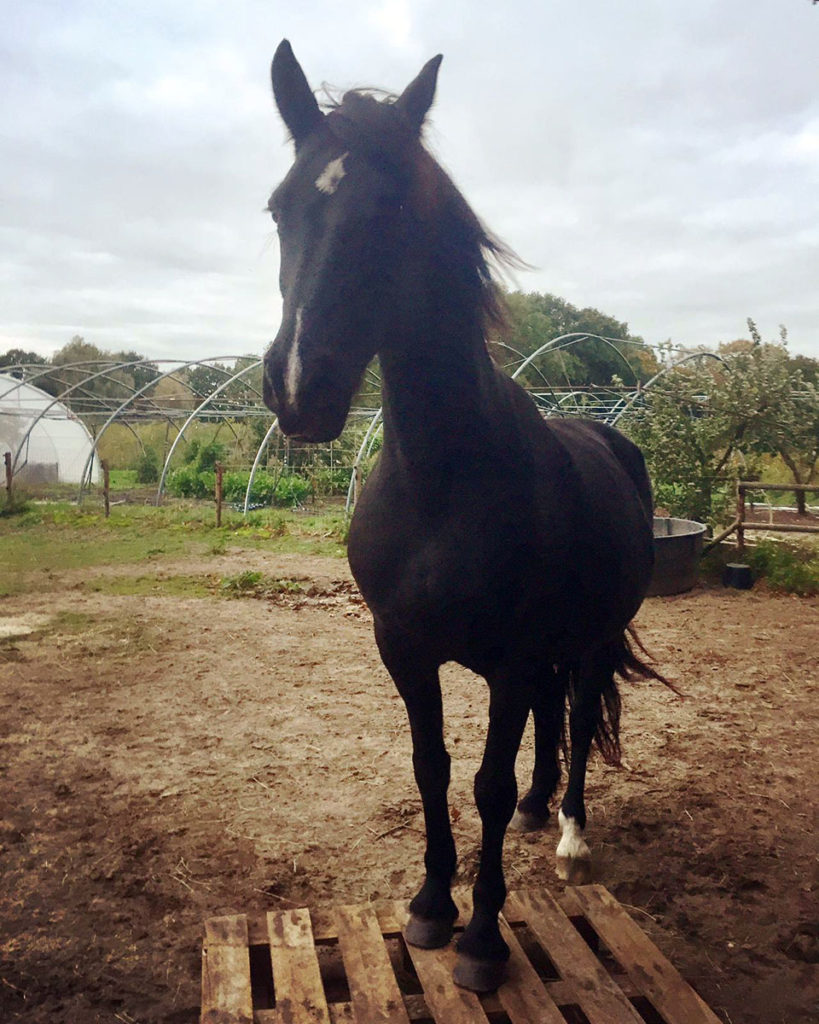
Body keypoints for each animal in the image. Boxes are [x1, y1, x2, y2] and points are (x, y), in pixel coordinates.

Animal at [262, 41, 663, 991]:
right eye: (279, 209)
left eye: (391, 210)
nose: (299, 389)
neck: (442, 483)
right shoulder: (403, 648)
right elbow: (431, 767)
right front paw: (429, 908)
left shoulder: (511, 658)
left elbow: (482, 780)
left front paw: (481, 938)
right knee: (554, 720)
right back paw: (538, 808)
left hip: (589, 637)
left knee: (579, 710)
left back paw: (569, 833)